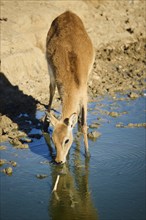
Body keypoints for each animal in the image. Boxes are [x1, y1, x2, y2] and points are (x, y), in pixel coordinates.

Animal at [44, 11, 94, 164]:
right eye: (53, 139)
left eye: (66, 140)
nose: (59, 160)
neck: (74, 82)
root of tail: (67, 13)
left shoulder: (84, 96)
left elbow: (84, 125)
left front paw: (87, 154)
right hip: (49, 70)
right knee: (51, 89)